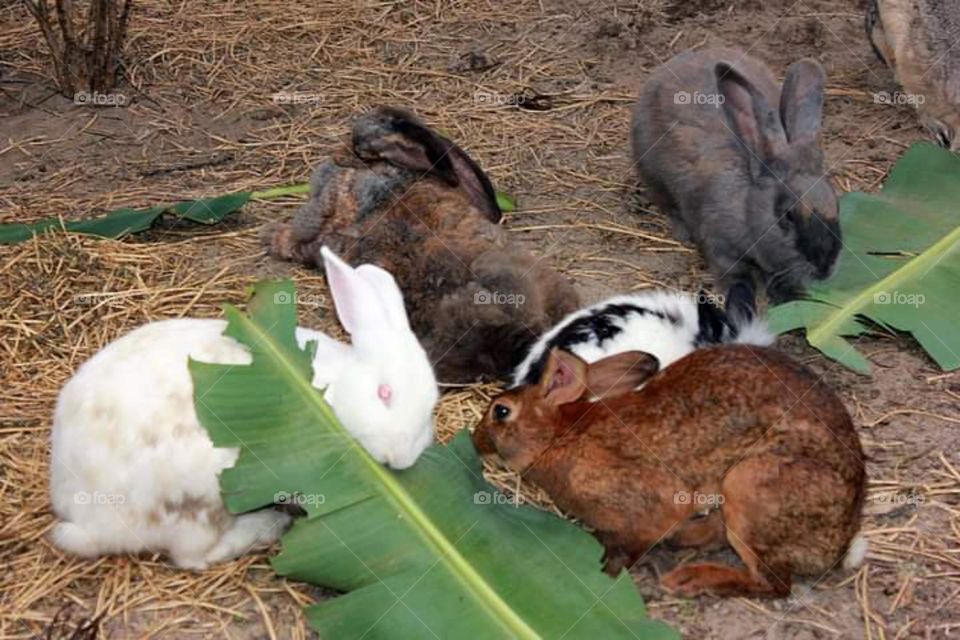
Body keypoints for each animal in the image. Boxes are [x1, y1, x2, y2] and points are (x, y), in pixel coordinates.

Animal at [49, 247, 439, 570]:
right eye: (385, 393)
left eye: (432, 405)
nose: (401, 459)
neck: (332, 386)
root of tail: (87, 517)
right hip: (202, 498)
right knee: (193, 557)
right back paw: (265, 528)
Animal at [473, 345, 867, 598]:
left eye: (501, 412)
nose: (476, 441)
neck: (560, 436)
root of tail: (839, 543)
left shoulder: (654, 502)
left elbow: (637, 540)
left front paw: (608, 569)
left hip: (749, 483)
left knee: (773, 584)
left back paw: (690, 580)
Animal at [631, 47, 841, 310]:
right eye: (788, 215)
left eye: (836, 204)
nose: (826, 265)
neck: (747, 208)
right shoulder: (720, 247)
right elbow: (736, 280)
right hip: (651, 171)